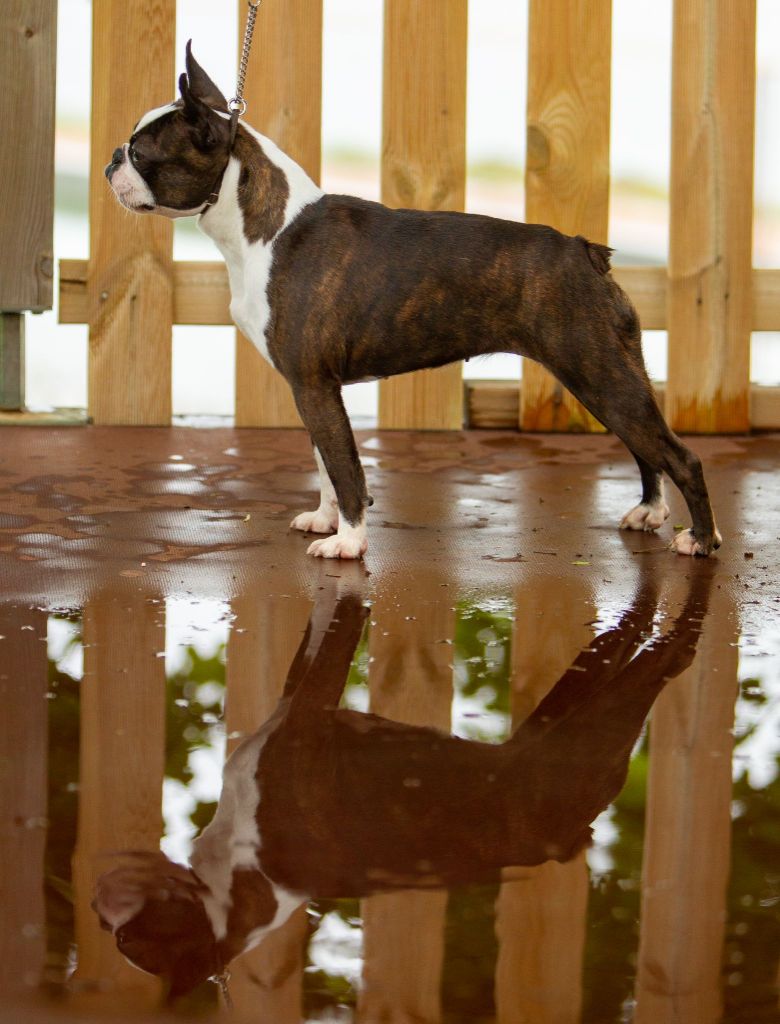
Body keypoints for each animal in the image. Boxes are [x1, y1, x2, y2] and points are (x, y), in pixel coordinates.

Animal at [106, 44, 720, 561]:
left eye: (141, 152)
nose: (112, 158)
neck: (265, 228)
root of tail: (584, 251)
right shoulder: (313, 389)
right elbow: (325, 464)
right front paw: (327, 520)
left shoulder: (314, 385)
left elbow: (347, 468)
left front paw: (349, 543)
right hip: (610, 372)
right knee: (646, 446)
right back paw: (649, 511)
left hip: (597, 372)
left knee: (680, 455)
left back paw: (701, 538)